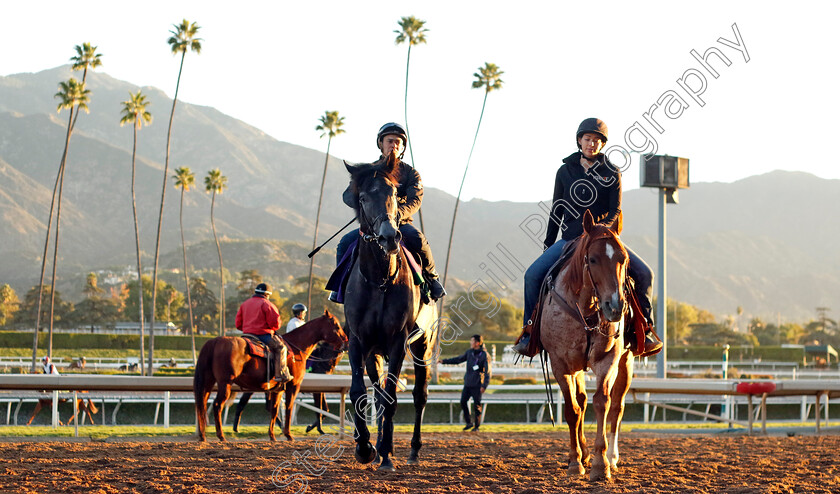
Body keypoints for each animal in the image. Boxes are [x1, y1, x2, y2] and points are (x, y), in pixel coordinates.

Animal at [192, 310, 346, 442]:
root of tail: (215, 341)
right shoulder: (294, 386)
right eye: (337, 325)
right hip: (226, 383)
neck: (296, 349)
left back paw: (203, 435)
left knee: (202, 404)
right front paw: (289, 434)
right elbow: (290, 408)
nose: (345, 341)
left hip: (209, 382)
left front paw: (272, 436)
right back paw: (221, 435)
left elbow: (275, 409)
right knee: (217, 405)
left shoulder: (277, 389)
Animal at [344, 154, 440, 470]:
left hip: (423, 346)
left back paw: (411, 450)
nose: (389, 237)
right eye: (363, 197)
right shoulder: (358, 341)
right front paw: (365, 447)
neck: (379, 280)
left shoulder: (399, 341)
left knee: (419, 395)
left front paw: (385, 453)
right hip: (375, 351)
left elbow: (391, 398)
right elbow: (359, 392)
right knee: (377, 391)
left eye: (395, 195)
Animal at [540, 210, 632, 480]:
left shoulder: (607, 359)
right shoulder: (560, 363)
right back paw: (582, 454)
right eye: (592, 259)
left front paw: (601, 464)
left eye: (624, 258)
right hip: (576, 367)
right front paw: (575, 461)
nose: (615, 307)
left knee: (617, 407)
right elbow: (572, 410)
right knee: (579, 402)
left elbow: (602, 402)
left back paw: (612, 457)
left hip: (626, 361)